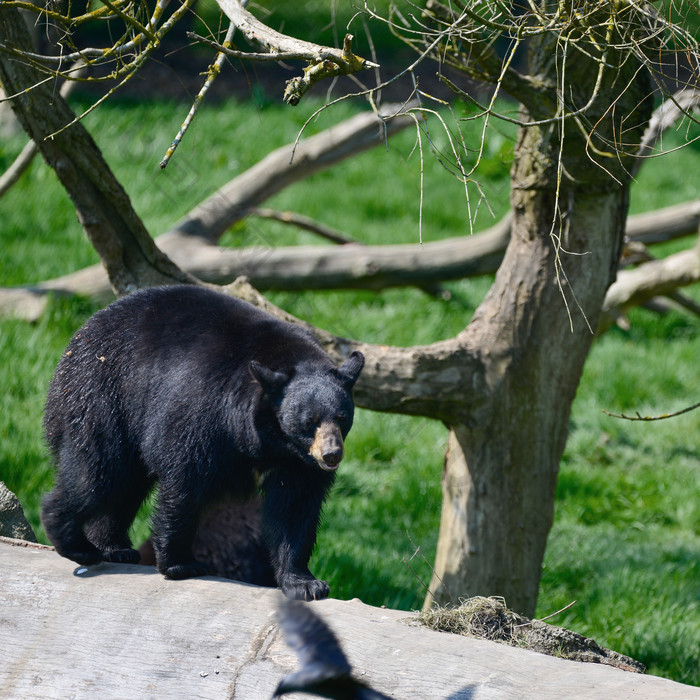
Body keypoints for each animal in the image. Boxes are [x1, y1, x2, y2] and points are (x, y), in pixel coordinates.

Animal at [42, 284, 366, 600]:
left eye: (342, 417)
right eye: (309, 421)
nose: (331, 455)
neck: (267, 437)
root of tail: (81, 335)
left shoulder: (297, 461)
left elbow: (296, 507)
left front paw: (305, 583)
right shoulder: (204, 410)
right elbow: (185, 483)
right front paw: (180, 564)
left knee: (124, 487)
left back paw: (114, 548)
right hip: (104, 398)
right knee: (99, 471)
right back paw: (75, 541)